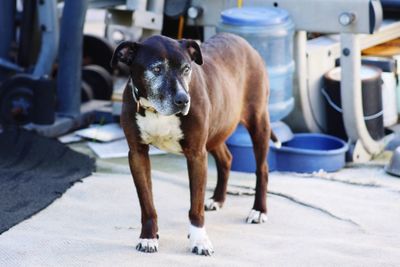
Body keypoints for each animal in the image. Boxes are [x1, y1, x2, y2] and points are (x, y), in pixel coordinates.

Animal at [111, 32, 270, 256]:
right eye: (157, 69)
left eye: (186, 69)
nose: (183, 100)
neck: (157, 111)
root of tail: (243, 41)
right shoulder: (137, 154)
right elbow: (147, 203)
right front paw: (149, 237)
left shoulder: (196, 154)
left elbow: (196, 205)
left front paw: (199, 240)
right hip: (216, 132)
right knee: (226, 159)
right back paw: (218, 199)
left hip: (258, 122)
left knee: (262, 169)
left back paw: (258, 210)